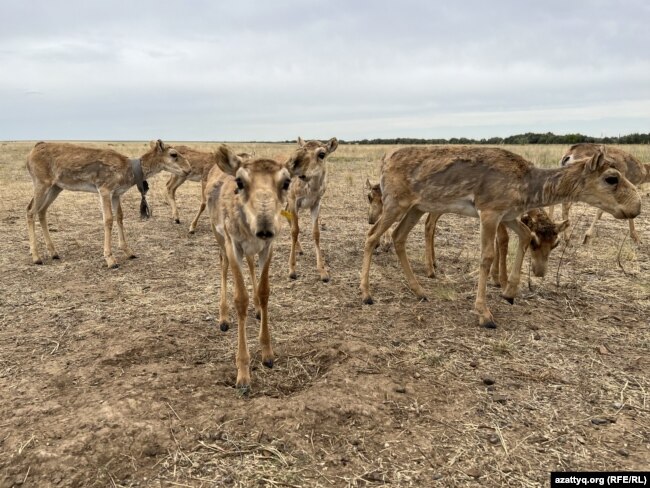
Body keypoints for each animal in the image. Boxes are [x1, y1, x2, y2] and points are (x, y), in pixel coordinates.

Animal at [27, 139, 190, 268]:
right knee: (30, 211)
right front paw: (110, 259)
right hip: (42, 184)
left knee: (41, 211)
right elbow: (108, 219)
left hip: (56, 187)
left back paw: (54, 252)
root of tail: (34, 148)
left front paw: (128, 252)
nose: (188, 169)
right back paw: (36, 257)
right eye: (174, 154)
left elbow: (120, 217)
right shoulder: (105, 190)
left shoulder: (116, 194)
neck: (130, 169)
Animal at [208, 143, 308, 390]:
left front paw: (267, 354)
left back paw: (255, 310)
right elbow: (240, 298)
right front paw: (243, 373)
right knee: (222, 265)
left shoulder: (267, 247)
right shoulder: (233, 245)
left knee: (251, 265)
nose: (265, 227)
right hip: (219, 239)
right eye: (240, 181)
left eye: (286, 182)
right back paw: (223, 318)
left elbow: (264, 292)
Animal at [364, 179, 568, 286]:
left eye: (555, 244)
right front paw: (500, 279)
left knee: (430, 224)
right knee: (424, 225)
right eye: (534, 242)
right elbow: (503, 240)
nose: (540, 272)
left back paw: (433, 263)